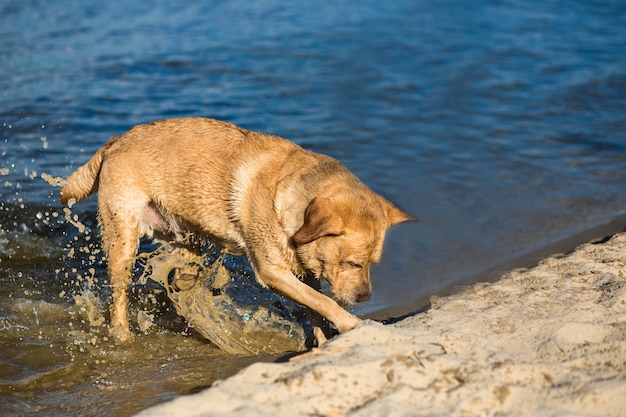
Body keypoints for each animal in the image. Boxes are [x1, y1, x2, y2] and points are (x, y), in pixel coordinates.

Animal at [61, 116, 414, 342]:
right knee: (117, 299)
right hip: (123, 242)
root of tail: (115, 142)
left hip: (182, 237)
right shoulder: (271, 271)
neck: (292, 199)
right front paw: (352, 324)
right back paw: (122, 336)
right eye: (352, 263)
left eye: (372, 264)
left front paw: (324, 342)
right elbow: (324, 302)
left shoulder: (304, 271)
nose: (366, 296)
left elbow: (314, 306)